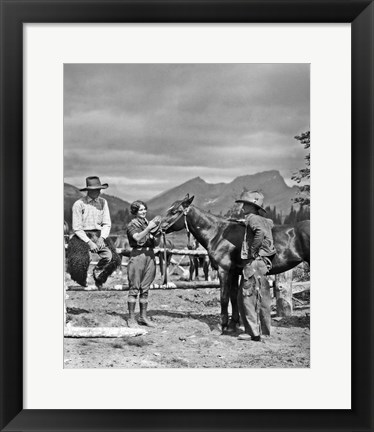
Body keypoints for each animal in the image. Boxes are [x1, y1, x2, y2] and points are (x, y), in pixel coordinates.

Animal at [161, 194, 310, 332]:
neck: (218, 234)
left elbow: (224, 297)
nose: (159, 227)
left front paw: (222, 326)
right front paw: (233, 324)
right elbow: (233, 296)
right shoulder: (233, 272)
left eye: (174, 211)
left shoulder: (223, 270)